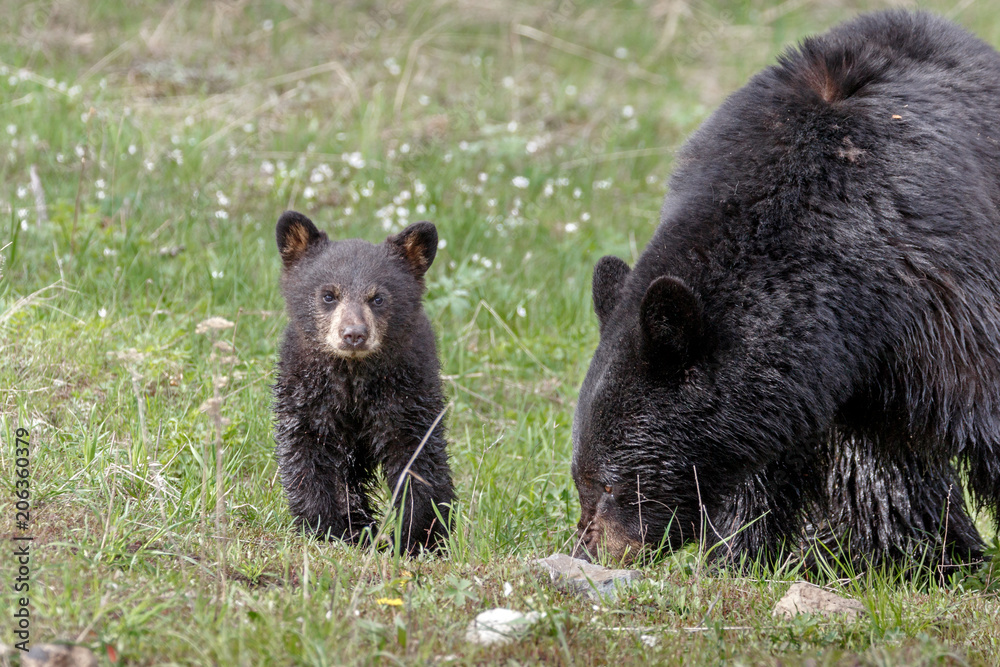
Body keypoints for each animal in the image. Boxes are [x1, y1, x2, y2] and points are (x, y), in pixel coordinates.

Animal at [278, 213, 458, 552]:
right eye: (328, 295)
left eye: (378, 298)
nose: (354, 334)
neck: (353, 379)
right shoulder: (307, 395)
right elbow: (307, 455)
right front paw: (328, 528)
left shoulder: (408, 394)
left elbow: (418, 458)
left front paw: (419, 536)